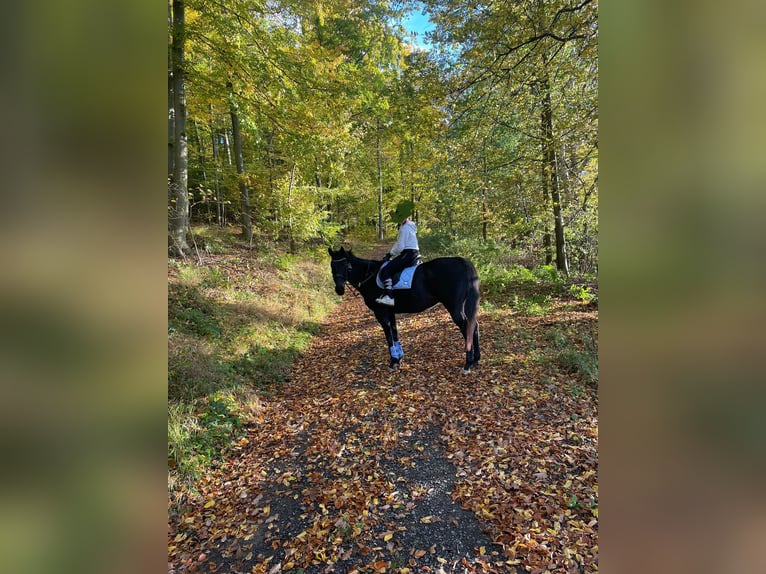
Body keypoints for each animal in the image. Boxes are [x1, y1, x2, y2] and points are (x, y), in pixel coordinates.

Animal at [328, 247, 481, 374]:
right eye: (332, 266)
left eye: (347, 266)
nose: (339, 289)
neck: (370, 276)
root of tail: (462, 262)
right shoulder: (390, 312)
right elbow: (395, 333)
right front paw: (399, 359)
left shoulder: (380, 313)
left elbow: (389, 336)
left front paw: (393, 362)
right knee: (474, 326)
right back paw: (476, 360)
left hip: (453, 306)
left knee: (467, 327)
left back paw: (467, 363)